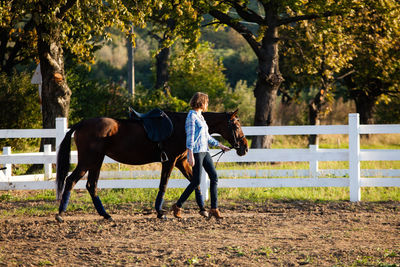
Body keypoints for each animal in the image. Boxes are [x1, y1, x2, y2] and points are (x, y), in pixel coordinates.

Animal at [54, 109, 247, 222]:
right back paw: (61, 214)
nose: (244, 147)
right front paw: (161, 211)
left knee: (91, 185)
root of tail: (83, 123)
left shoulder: (181, 162)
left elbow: (195, 182)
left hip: (96, 160)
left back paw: (106, 215)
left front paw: (203, 210)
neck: (182, 127)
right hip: (88, 160)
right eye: (236, 125)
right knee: (71, 181)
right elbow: (164, 184)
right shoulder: (170, 161)